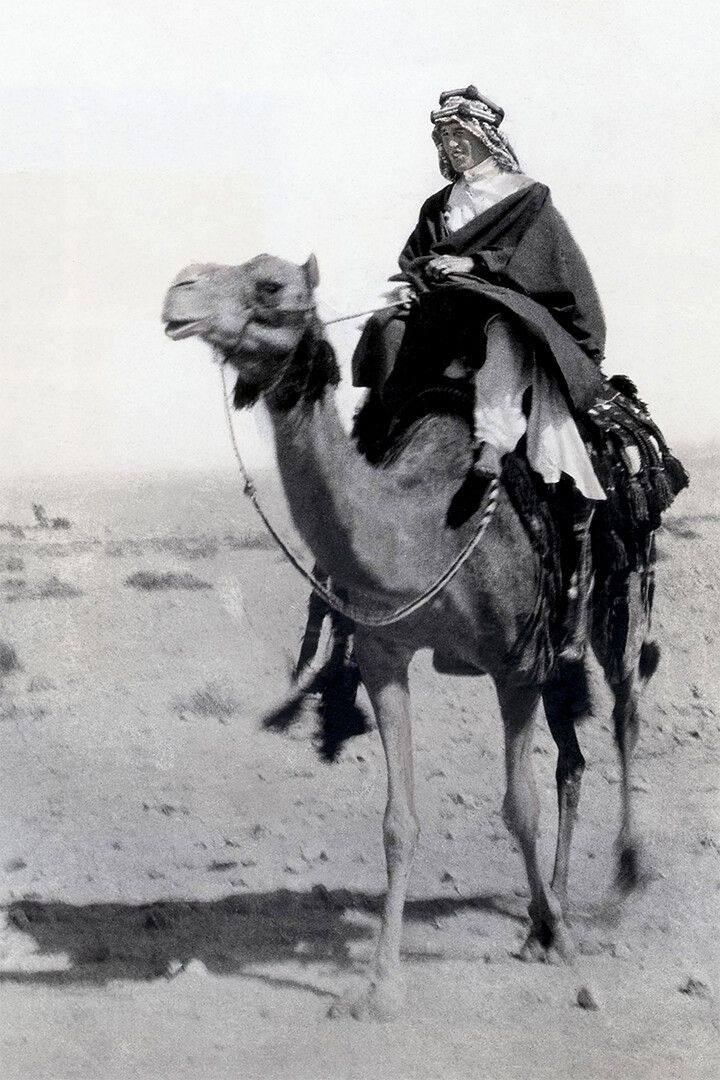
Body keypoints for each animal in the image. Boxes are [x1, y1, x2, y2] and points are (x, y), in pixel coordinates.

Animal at [162, 254, 657, 1020]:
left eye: (269, 284)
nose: (178, 292)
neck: (428, 526)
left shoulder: (513, 664)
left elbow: (519, 809)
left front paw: (578, 974)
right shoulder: (385, 652)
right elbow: (400, 821)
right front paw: (381, 986)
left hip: (612, 597)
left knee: (626, 712)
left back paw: (620, 884)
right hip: (554, 649)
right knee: (572, 759)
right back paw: (548, 917)